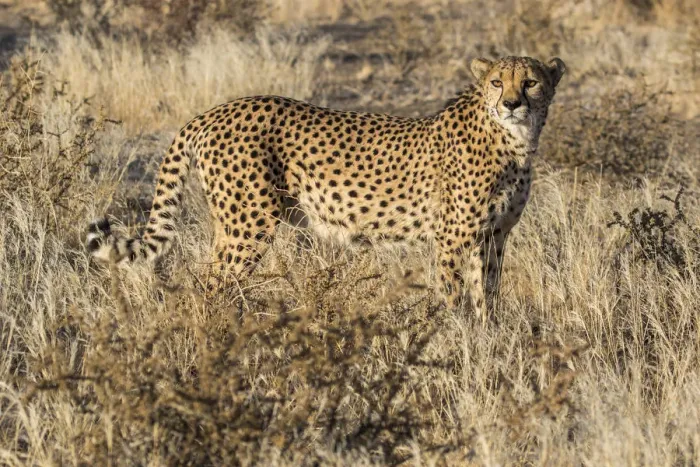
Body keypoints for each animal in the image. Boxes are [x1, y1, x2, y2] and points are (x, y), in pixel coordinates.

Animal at [87, 55, 566, 319]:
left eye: (531, 82)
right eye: (497, 82)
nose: (512, 103)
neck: (513, 140)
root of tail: (214, 111)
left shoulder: (494, 237)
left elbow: (488, 296)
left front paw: (489, 340)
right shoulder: (452, 239)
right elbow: (458, 300)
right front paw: (461, 345)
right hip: (248, 225)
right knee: (210, 284)